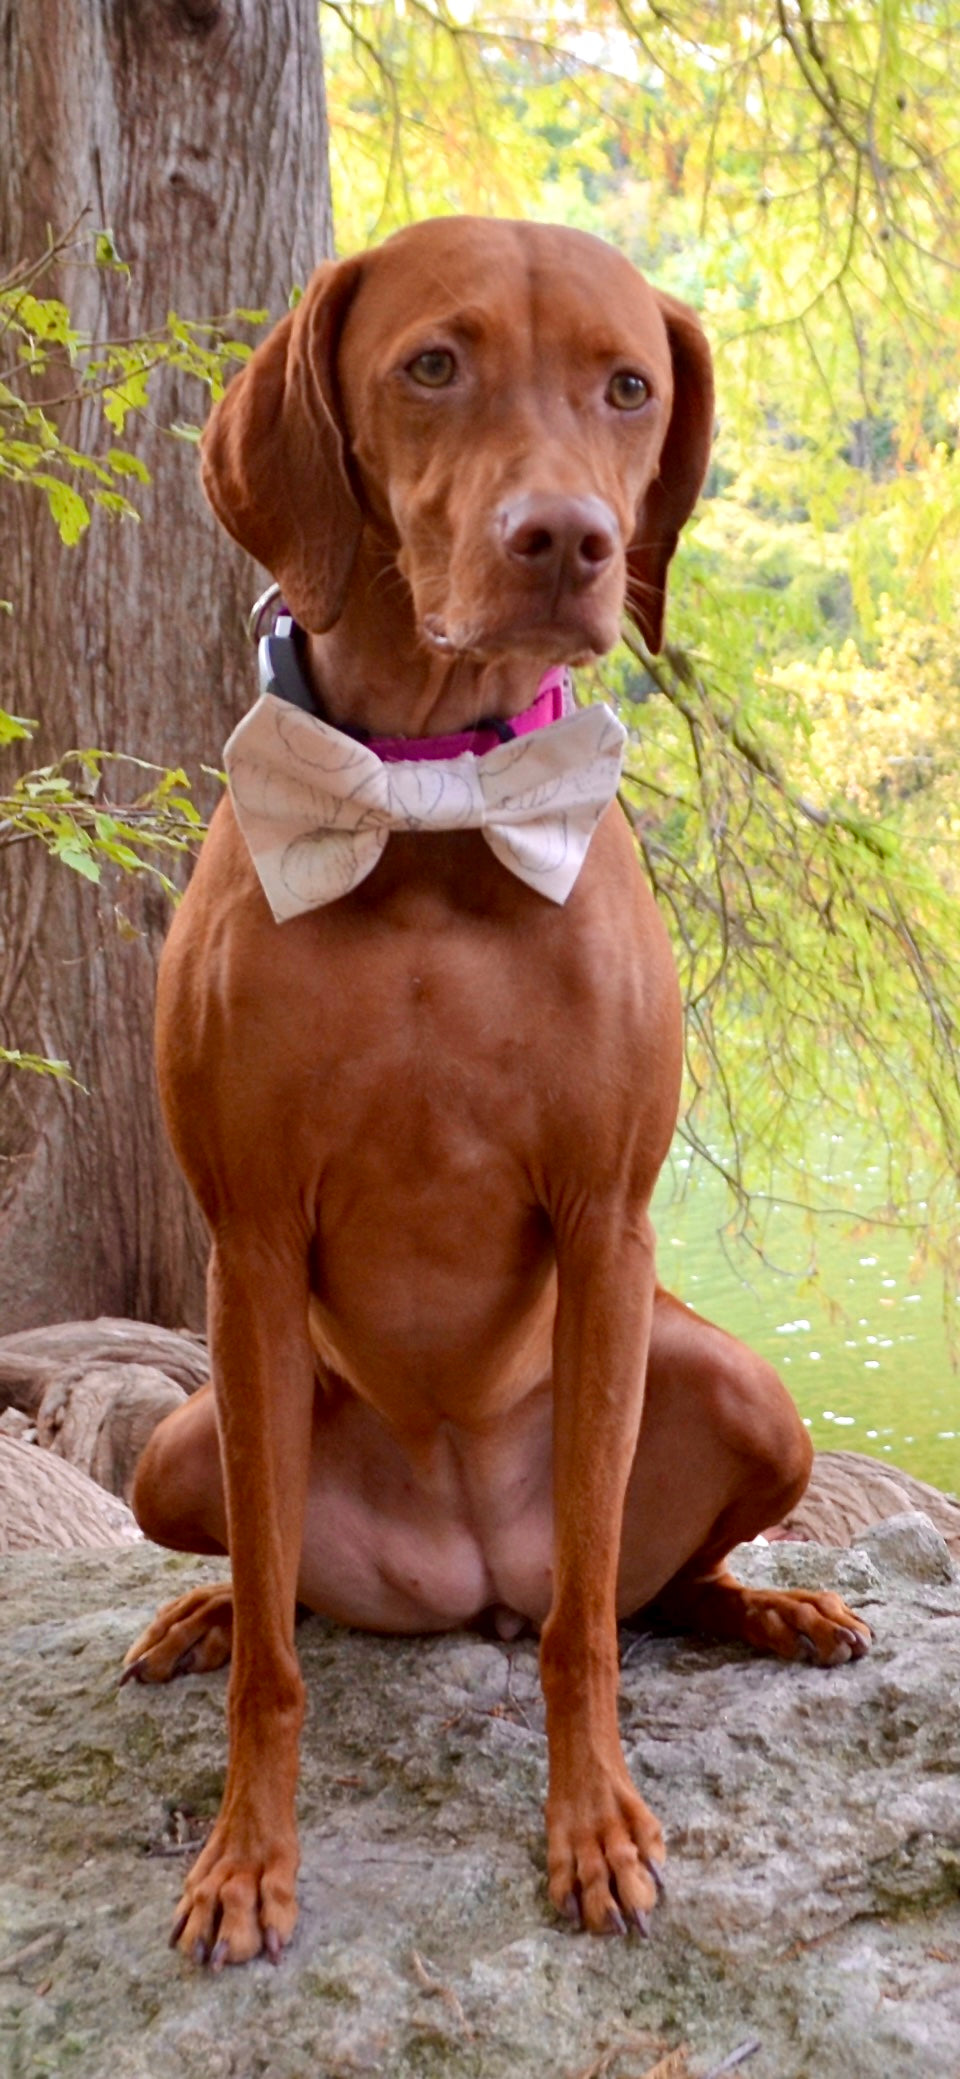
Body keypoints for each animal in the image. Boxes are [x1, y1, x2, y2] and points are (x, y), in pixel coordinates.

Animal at [122, 219, 868, 1970]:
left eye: (628, 386)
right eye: (433, 364)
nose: (568, 542)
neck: (432, 804)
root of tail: (463, 1579)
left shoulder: (607, 1231)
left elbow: (589, 1619)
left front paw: (594, 1826)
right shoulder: (245, 1241)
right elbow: (279, 1656)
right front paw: (246, 1857)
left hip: (749, 1394)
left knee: (640, 1590)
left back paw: (772, 1604)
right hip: (178, 1440)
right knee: (277, 1579)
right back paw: (201, 1610)